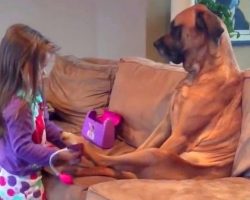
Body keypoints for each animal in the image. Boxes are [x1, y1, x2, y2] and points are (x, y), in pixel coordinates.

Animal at [69, 4, 243, 180]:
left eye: (176, 29)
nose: (155, 43)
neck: (200, 73)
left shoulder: (179, 136)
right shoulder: (165, 125)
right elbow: (143, 145)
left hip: (155, 156)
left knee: (106, 160)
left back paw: (73, 141)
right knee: (116, 163)